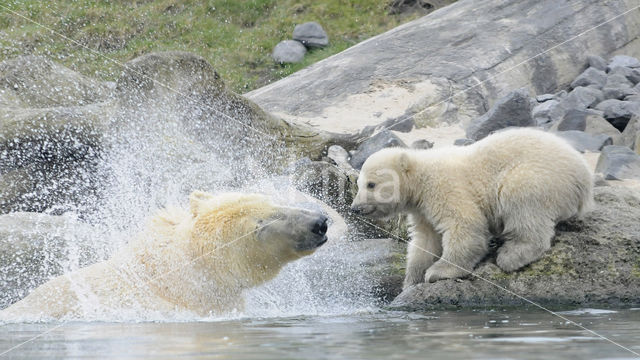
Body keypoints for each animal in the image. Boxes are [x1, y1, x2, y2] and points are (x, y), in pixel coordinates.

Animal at [352, 128, 592, 288]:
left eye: (371, 184)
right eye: (358, 183)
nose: (355, 208)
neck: (420, 175)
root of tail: (584, 177)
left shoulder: (444, 187)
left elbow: (465, 225)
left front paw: (438, 272)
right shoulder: (421, 210)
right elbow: (425, 240)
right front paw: (412, 280)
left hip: (540, 176)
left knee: (520, 199)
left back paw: (511, 256)